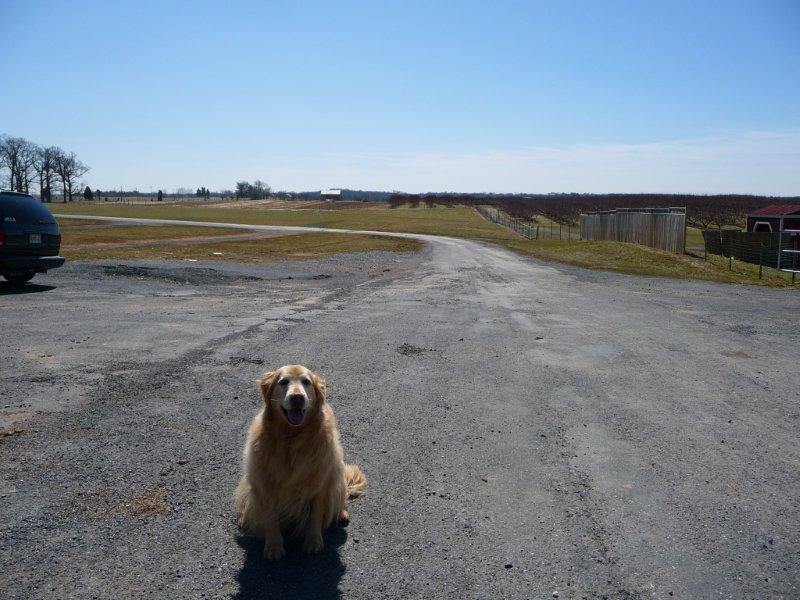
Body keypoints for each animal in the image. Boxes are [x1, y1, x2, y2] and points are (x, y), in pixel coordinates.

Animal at [234, 364, 366, 560]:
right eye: (283, 382)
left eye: (306, 382)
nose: (297, 397)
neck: (291, 437)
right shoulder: (264, 484)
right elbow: (270, 518)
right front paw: (273, 546)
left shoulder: (320, 484)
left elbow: (316, 515)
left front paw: (313, 541)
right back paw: (244, 519)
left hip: (337, 472)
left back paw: (341, 513)